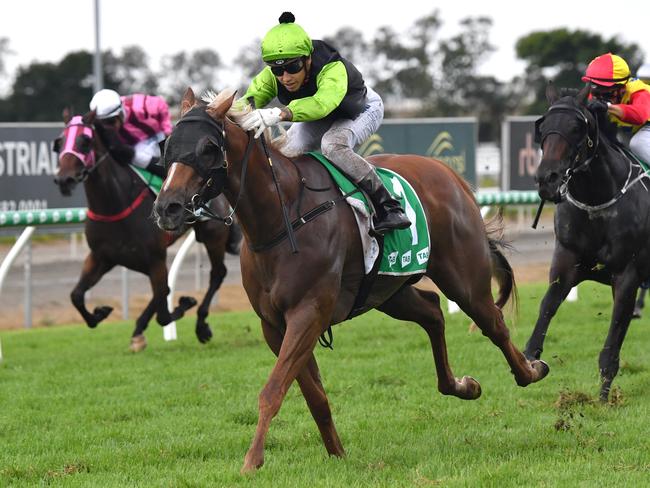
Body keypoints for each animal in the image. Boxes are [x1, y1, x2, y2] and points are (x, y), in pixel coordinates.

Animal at [152, 87, 548, 472]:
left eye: (208, 147)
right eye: (166, 146)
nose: (167, 207)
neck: (283, 215)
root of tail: (450, 175)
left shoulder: (308, 313)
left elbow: (273, 390)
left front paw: (251, 462)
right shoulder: (274, 324)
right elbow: (314, 395)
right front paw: (338, 454)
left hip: (463, 277)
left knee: (493, 323)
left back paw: (530, 370)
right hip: (388, 290)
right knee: (433, 311)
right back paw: (463, 386)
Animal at [524, 83, 648, 400]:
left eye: (577, 127)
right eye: (543, 126)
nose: (547, 178)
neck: (598, 202)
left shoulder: (627, 274)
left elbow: (612, 342)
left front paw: (603, 398)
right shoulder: (567, 262)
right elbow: (546, 307)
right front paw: (529, 361)